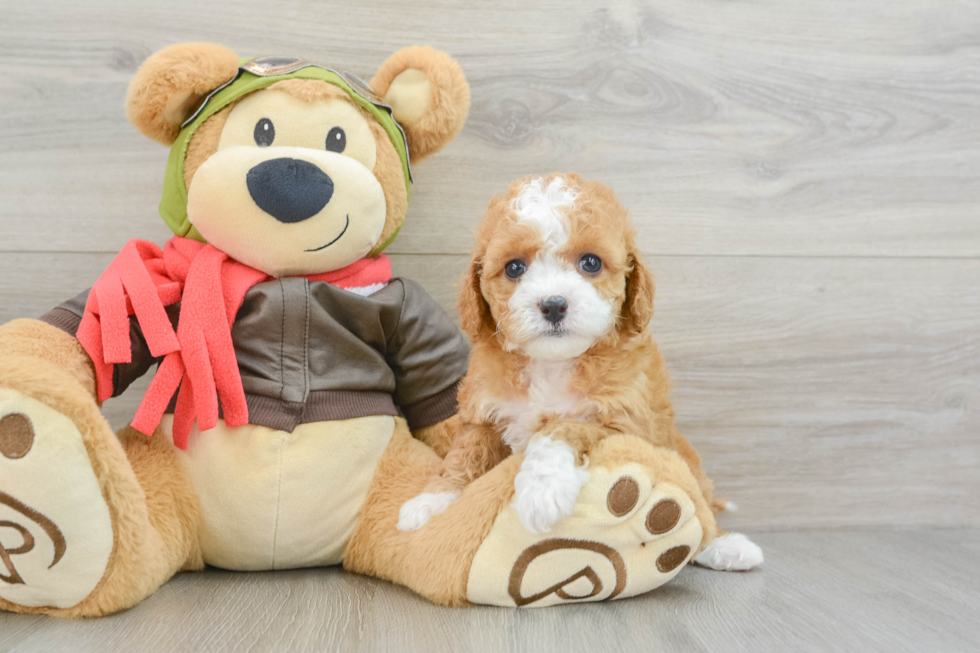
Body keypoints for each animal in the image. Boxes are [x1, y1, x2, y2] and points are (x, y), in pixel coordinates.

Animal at [400, 173, 764, 572]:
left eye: (590, 262)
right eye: (514, 268)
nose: (553, 304)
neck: (552, 363)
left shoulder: (628, 426)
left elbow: (563, 427)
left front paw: (541, 491)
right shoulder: (484, 416)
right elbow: (463, 456)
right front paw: (431, 501)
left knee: (700, 504)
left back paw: (726, 547)